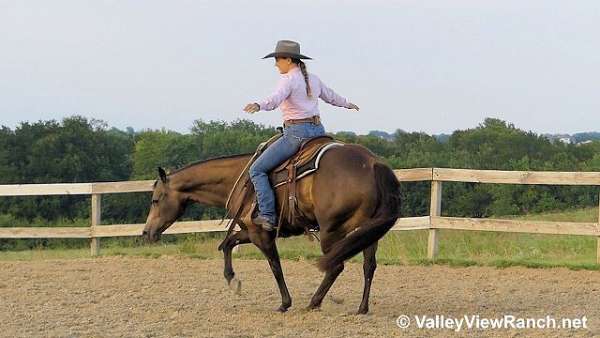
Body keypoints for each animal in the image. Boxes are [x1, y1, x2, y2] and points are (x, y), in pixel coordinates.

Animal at [143, 143, 400, 314]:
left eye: (155, 200)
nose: (146, 233)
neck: (240, 180)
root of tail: (373, 164)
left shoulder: (261, 234)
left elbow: (275, 266)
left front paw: (285, 303)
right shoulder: (250, 230)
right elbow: (227, 244)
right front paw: (233, 281)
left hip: (332, 231)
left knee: (335, 266)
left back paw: (314, 302)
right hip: (367, 231)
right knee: (368, 266)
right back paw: (361, 308)